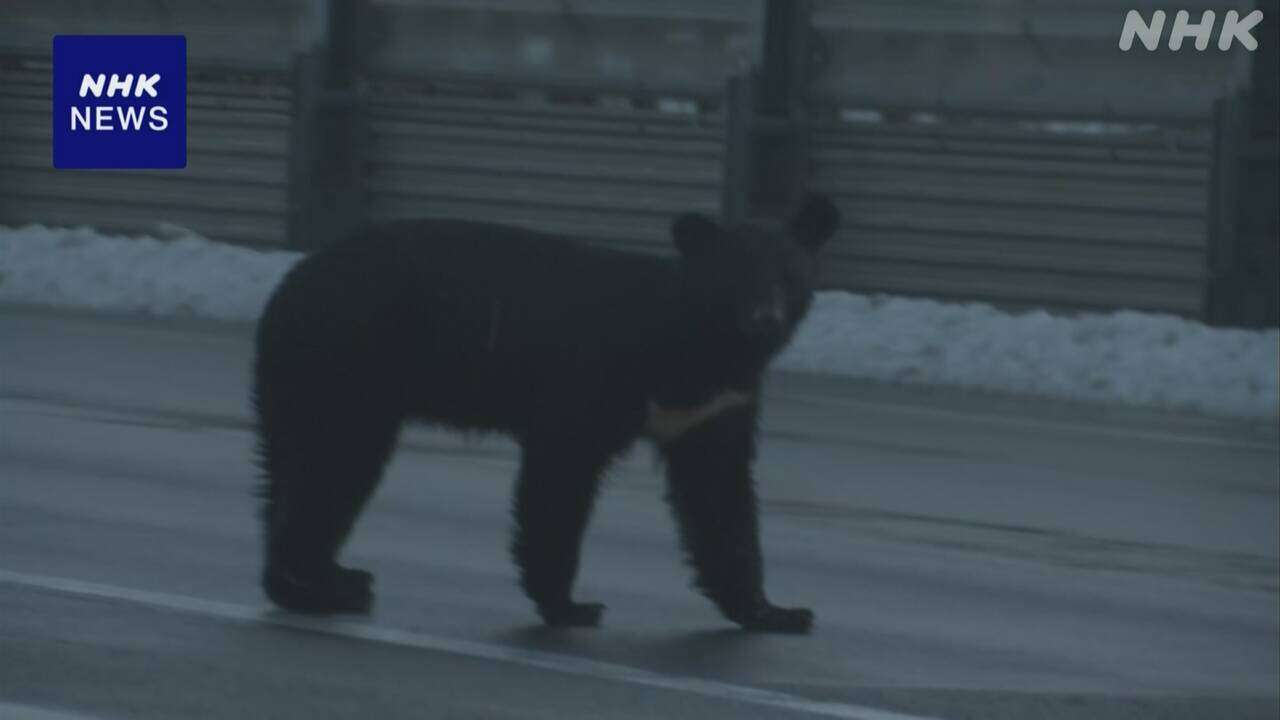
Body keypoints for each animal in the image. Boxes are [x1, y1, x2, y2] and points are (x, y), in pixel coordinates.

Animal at [253, 193, 839, 630]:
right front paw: (570, 604)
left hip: (299, 385)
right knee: (336, 467)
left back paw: (320, 579)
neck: (695, 348)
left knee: (292, 470)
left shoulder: (712, 409)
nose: (764, 319)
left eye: (788, 273)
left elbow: (721, 497)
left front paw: (776, 611)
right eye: (735, 275)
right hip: (349, 367)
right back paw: (323, 587)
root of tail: (285, 291)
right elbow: (561, 475)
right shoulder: (597, 377)